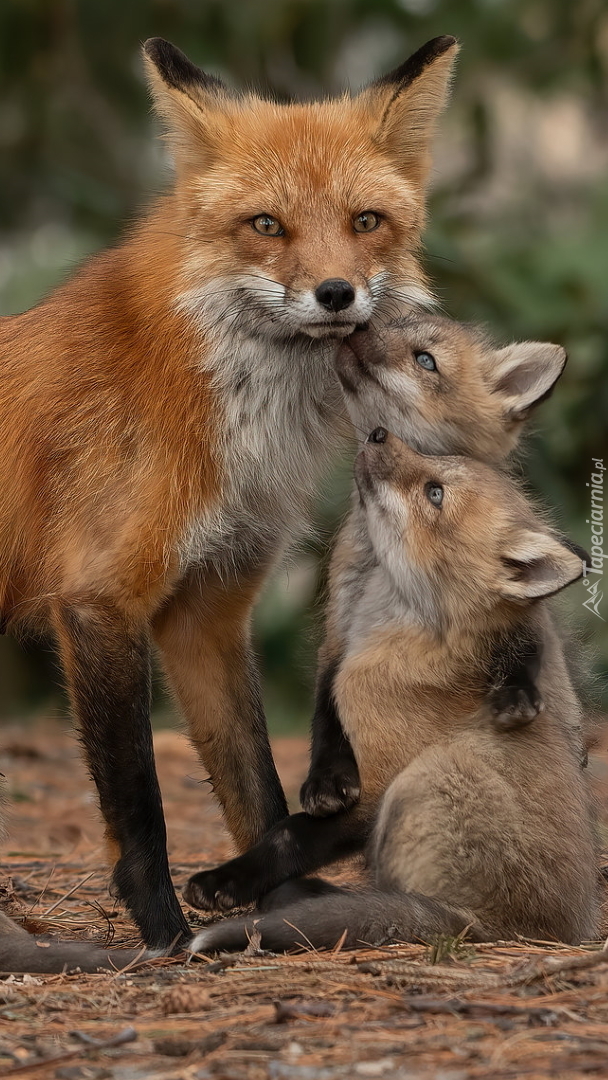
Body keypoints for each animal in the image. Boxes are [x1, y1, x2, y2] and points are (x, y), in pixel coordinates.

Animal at [0, 35, 460, 946]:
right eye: (266, 226)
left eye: (365, 222)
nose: (335, 294)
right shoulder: (100, 600)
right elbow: (139, 804)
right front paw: (160, 931)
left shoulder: (208, 605)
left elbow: (256, 786)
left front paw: (276, 905)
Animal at [188, 432, 596, 954]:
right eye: (437, 458)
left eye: (435, 492)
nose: (379, 432)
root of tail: (558, 932)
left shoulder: (382, 782)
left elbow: (290, 835)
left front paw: (225, 882)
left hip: (430, 776)